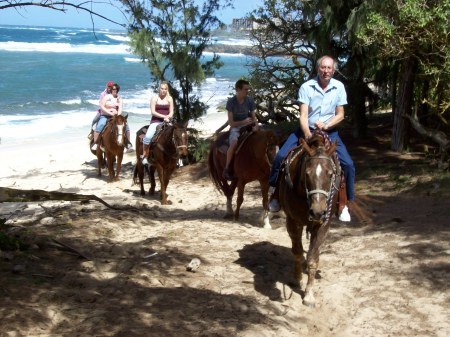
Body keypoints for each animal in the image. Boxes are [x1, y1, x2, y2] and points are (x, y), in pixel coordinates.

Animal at [278, 129, 342, 308]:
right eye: (307, 173)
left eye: (330, 174)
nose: (317, 212)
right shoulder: (293, 222)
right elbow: (297, 252)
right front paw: (297, 278)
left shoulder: (323, 225)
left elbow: (313, 258)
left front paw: (309, 295)